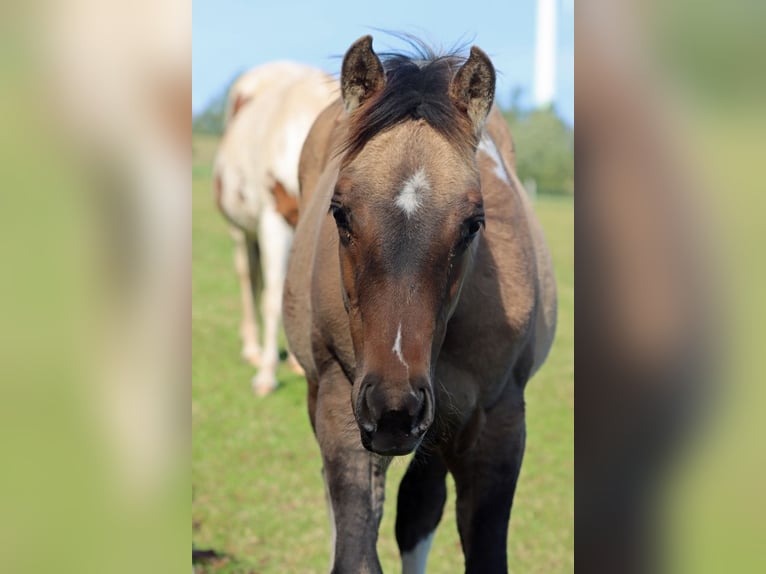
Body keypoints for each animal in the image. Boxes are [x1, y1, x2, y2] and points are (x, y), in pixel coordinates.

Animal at [214, 63, 338, 395]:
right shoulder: (273, 221)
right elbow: (271, 298)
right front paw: (266, 376)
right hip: (242, 230)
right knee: (249, 278)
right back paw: (253, 351)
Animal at [283, 36, 557, 573]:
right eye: (339, 212)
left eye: (473, 223)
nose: (394, 408)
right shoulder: (344, 406)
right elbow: (355, 552)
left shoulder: (498, 424)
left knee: (419, 509)